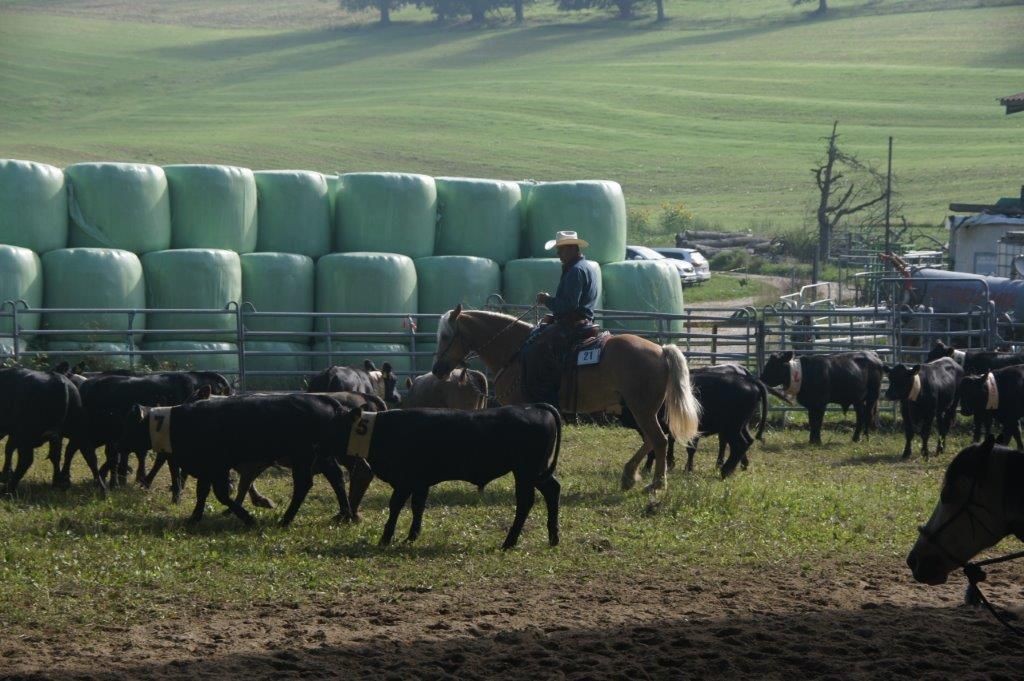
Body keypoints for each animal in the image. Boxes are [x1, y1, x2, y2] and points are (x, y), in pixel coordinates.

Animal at [431, 305, 701, 491]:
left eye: (445, 336)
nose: (437, 370)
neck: (515, 351)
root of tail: (661, 350)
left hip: (641, 408)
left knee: (659, 440)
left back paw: (655, 485)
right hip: (639, 409)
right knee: (653, 439)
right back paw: (629, 476)